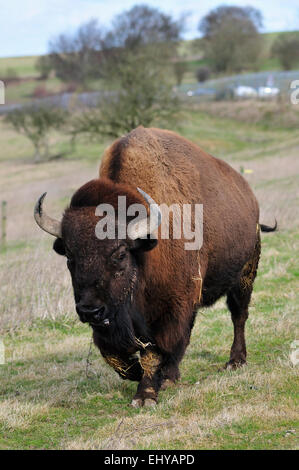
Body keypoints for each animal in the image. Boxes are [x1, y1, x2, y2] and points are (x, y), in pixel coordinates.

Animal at [34, 126, 276, 406]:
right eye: (69, 257)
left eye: (120, 254)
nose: (89, 310)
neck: (143, 254)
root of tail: (249, 197)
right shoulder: (114, 323)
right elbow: (114, 353)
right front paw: (145, 376)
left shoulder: (168, 308)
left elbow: (154, 350)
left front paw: (146, 395)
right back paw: (172, 375)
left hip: (244, 275)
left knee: (238, 315)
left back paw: (235, 361)